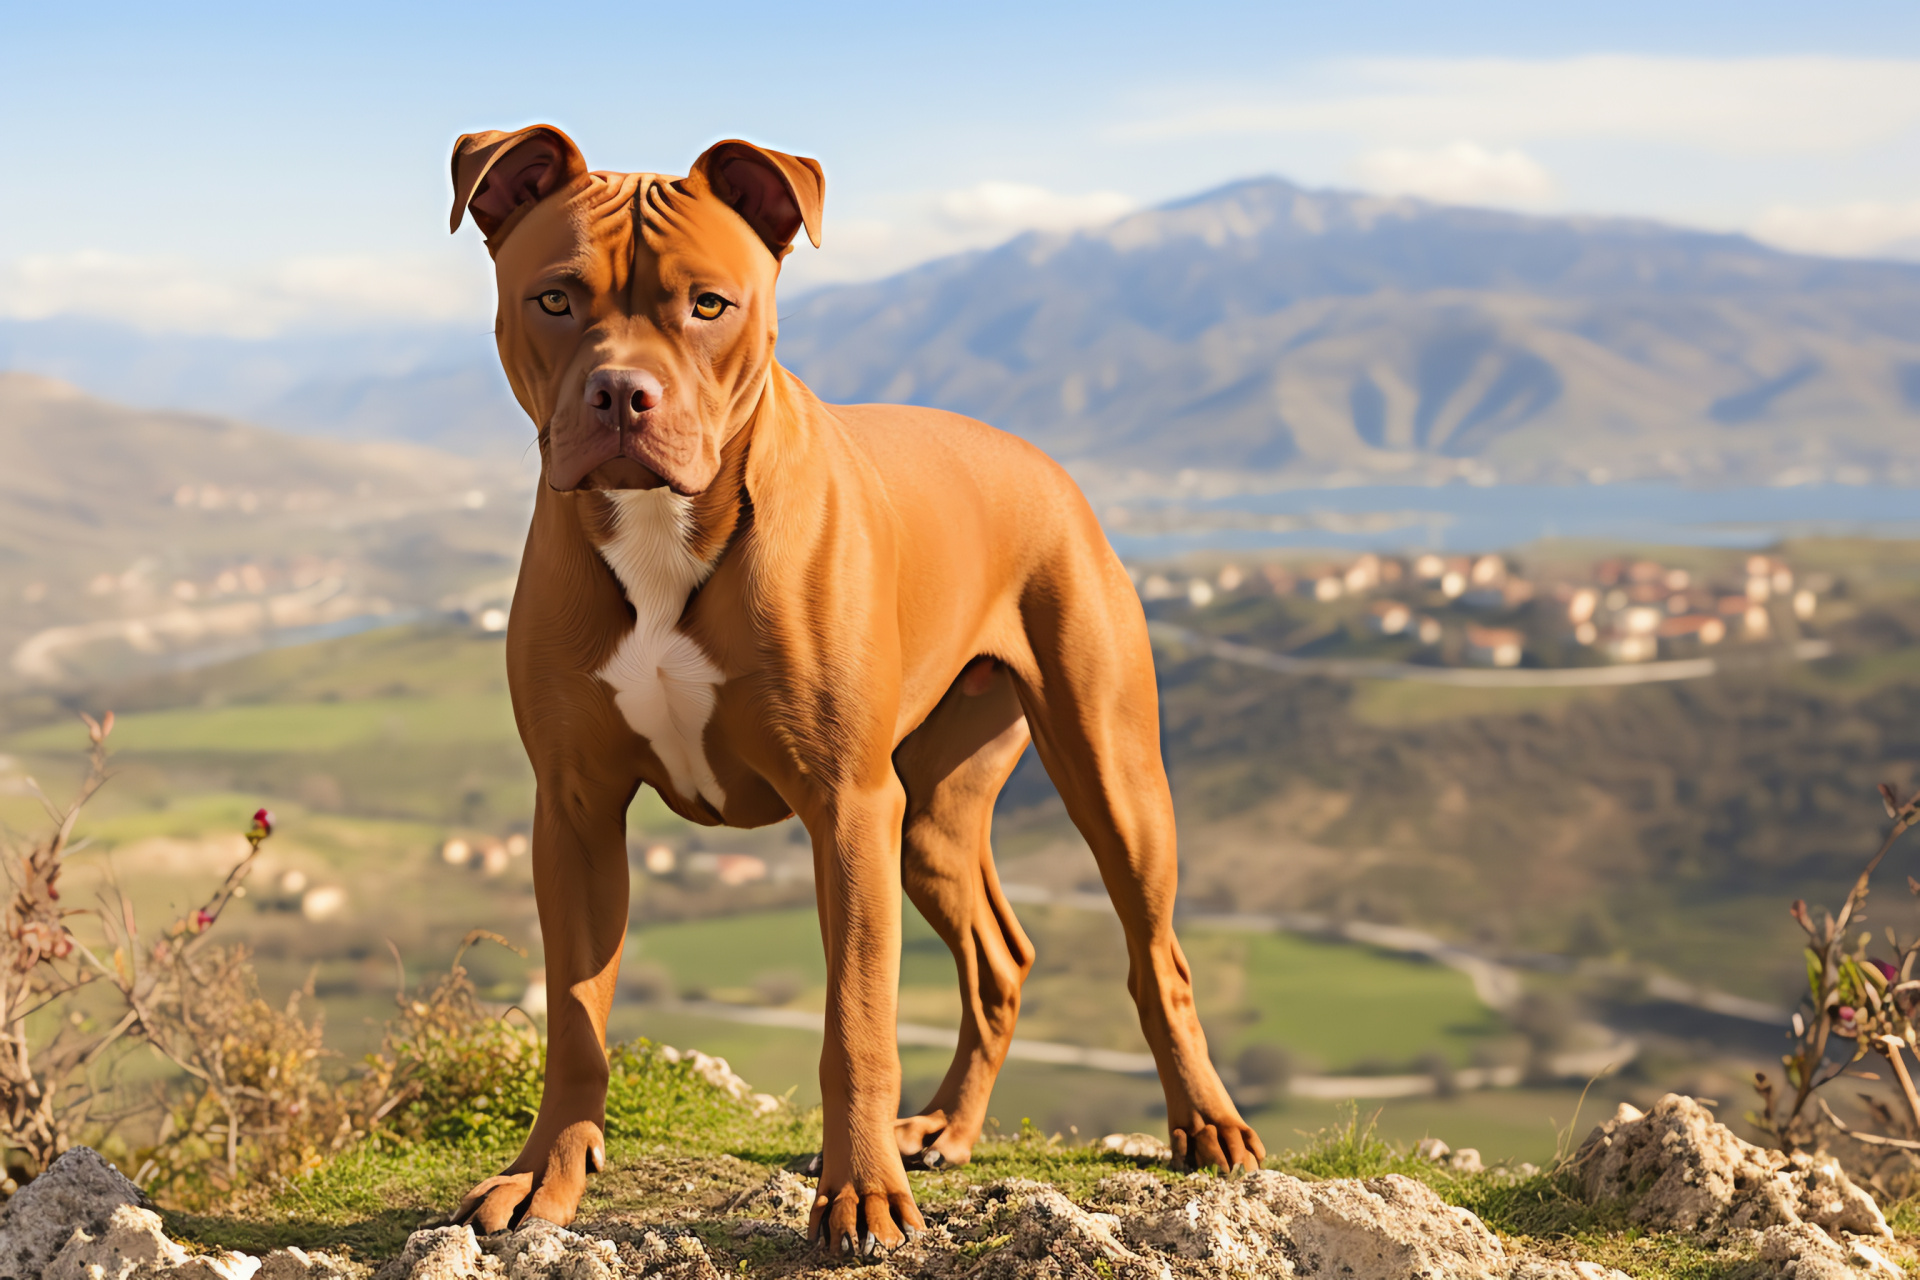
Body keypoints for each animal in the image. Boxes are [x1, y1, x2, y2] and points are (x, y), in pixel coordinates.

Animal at [445, 127, 1259, 1251]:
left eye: (710, 304)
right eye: (556, 298)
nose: (621, 394)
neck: (664, 527)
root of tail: (1040, 460)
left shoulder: (845, 806)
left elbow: (857, 1018)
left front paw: (861, 1190)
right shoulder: (574, 810)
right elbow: (574, 1016)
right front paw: (544, 1176)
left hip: (1109, 777)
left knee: (1158, 958)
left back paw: (1206, 1125)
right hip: (929, 820)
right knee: (1000, 958)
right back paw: (949, 1129)